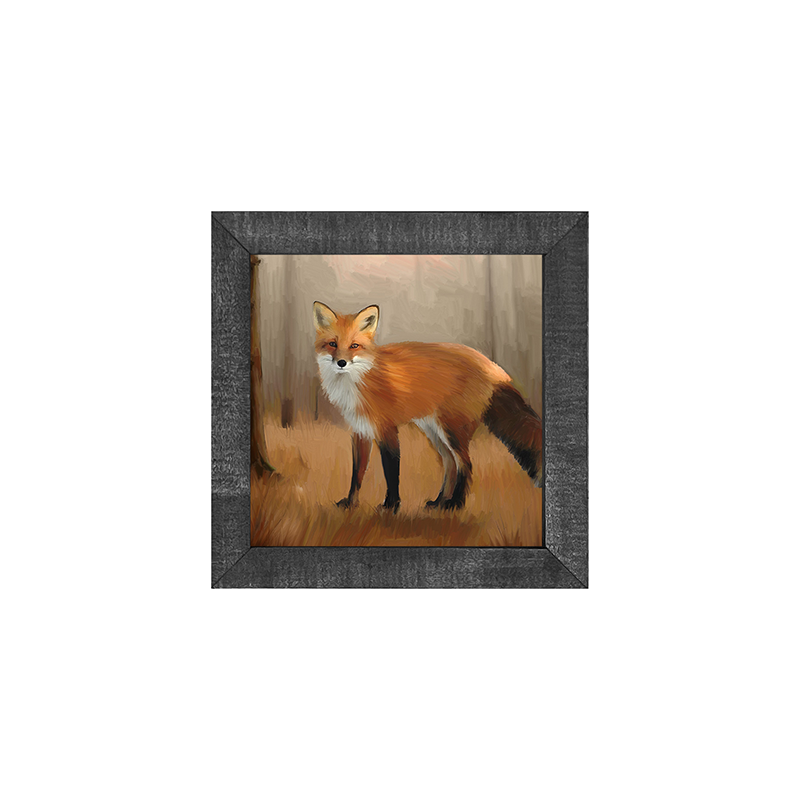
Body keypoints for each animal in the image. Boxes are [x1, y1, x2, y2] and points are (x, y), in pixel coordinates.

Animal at [313, 301, 543, 513]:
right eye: (332, 344)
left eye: (354, 346)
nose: (341, 363)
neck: (358, 381)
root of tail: (492, 366)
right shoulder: (360, 431)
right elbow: (357, 474)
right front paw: (350, 503)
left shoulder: (387, 430)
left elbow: (391, 471)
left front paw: (391, 506)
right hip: (434, 431)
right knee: (450, 464)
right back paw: (439, 502)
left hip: (452, 430)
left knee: (466, 464)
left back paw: (455, 504)